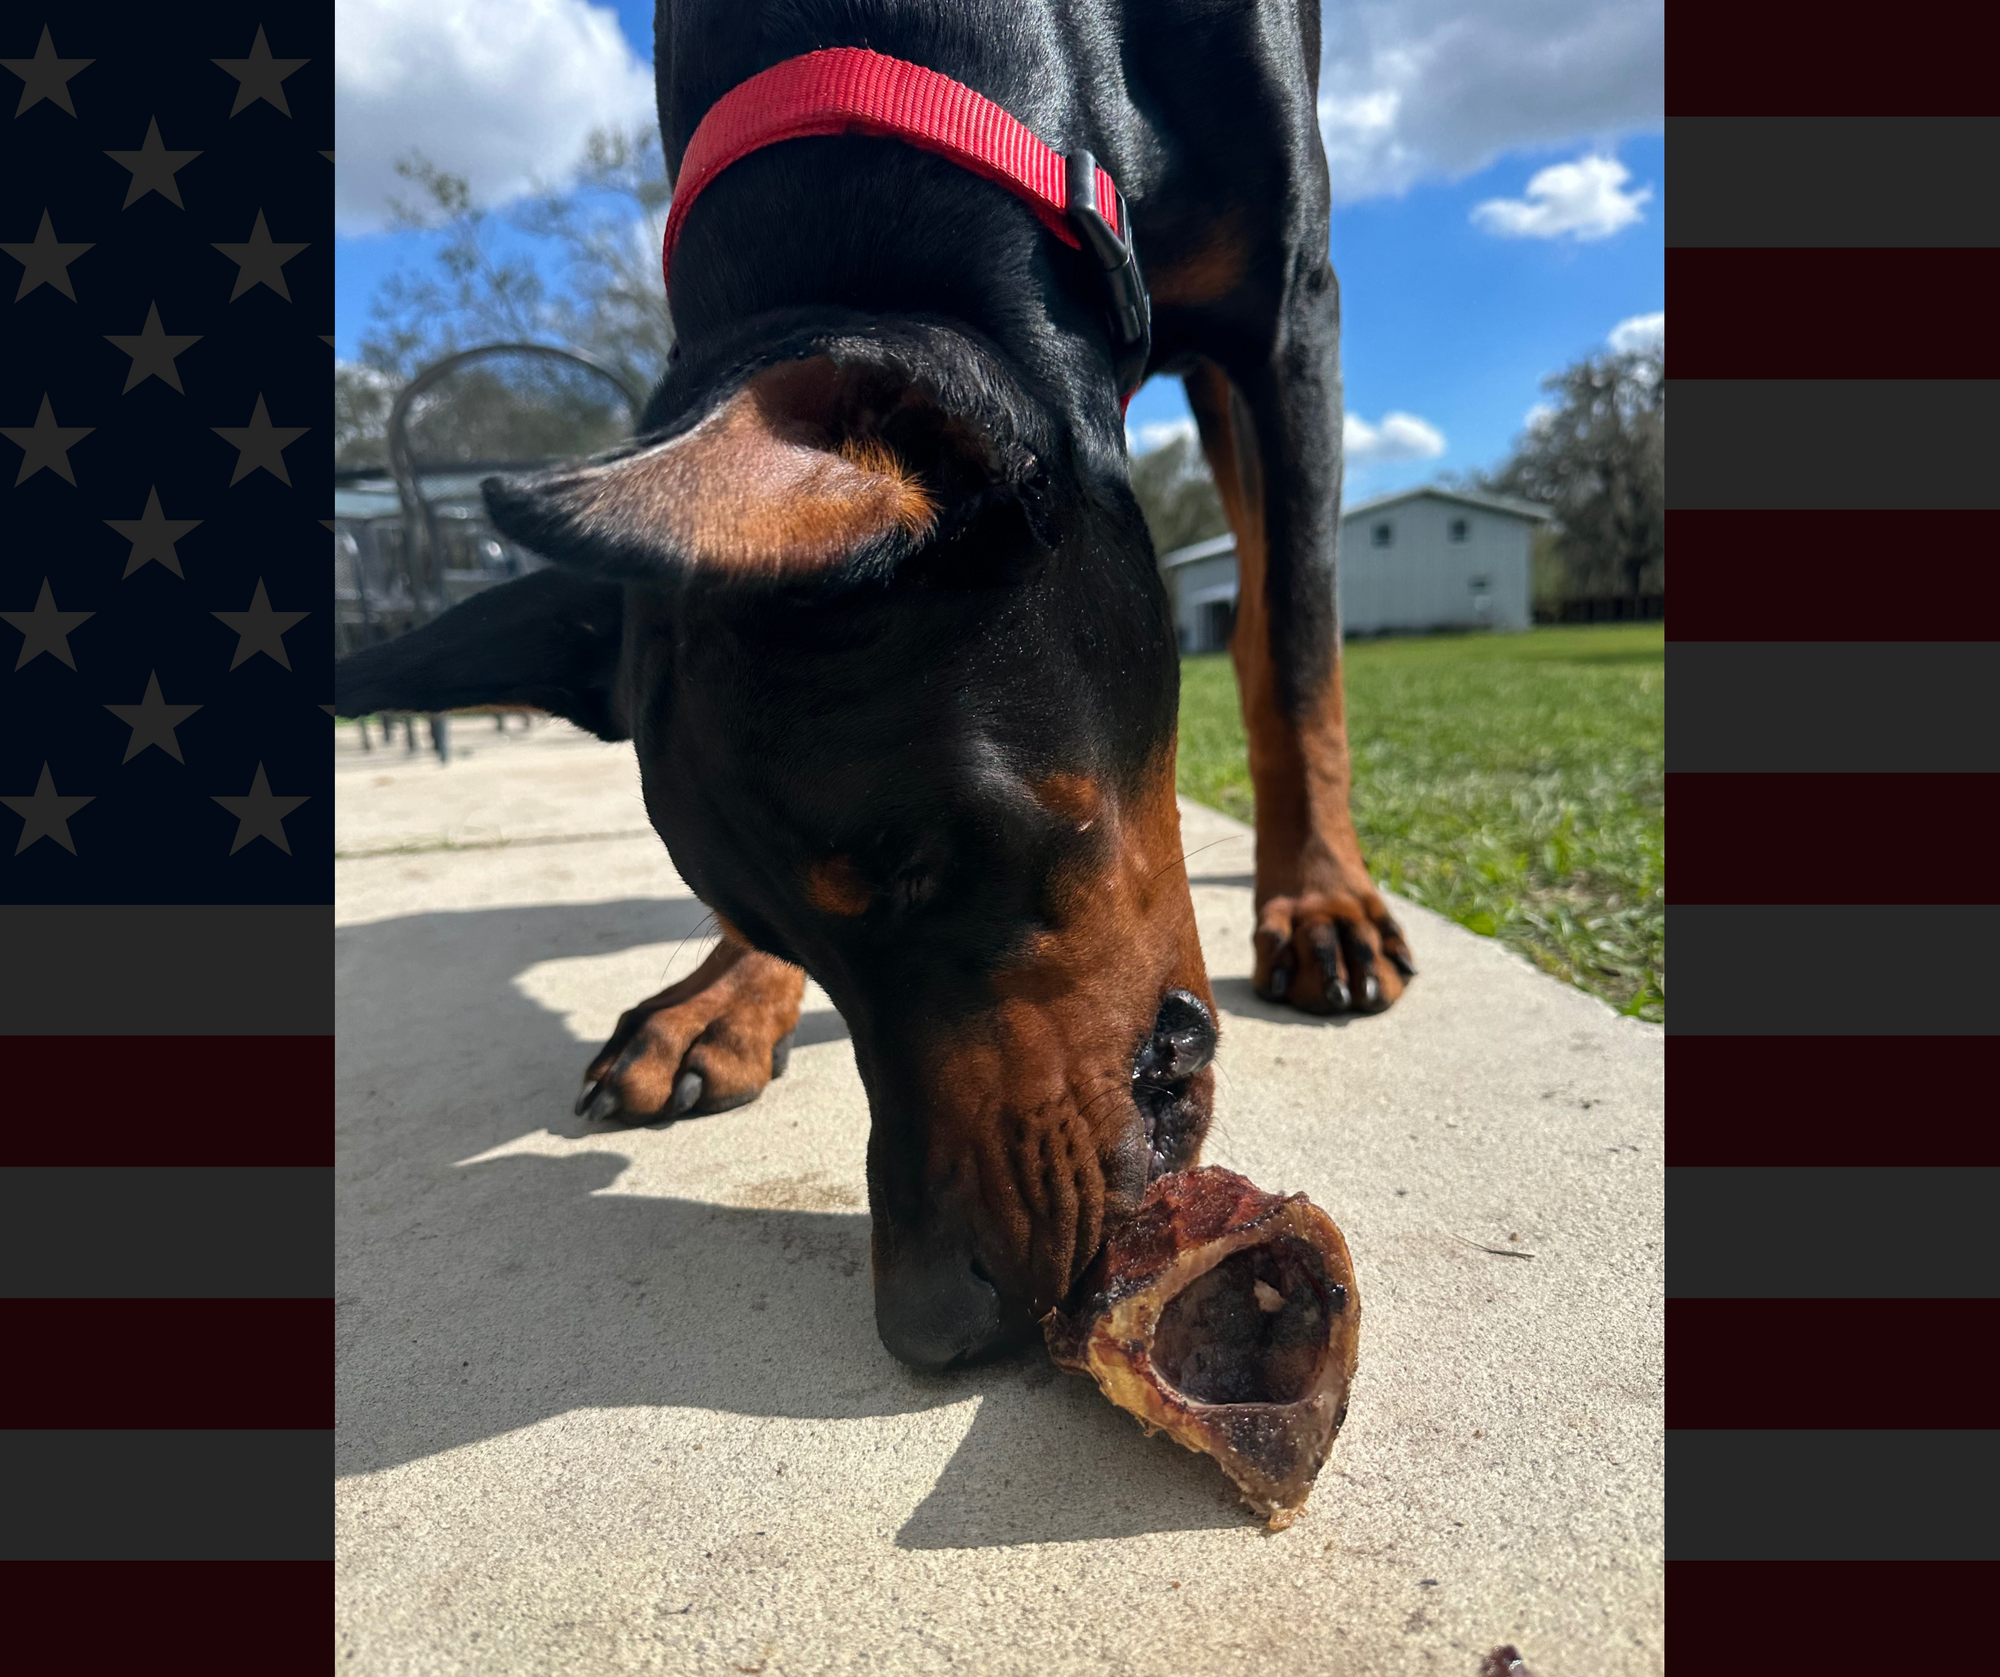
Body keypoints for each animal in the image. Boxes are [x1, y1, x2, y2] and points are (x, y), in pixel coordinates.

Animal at [336, 3, 1416, 1376]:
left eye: (919, 862)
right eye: (777, 920)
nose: (933, 1318)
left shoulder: (1288, 315)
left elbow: (1298, 648)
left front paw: (1320, 893)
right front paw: (723, 997)